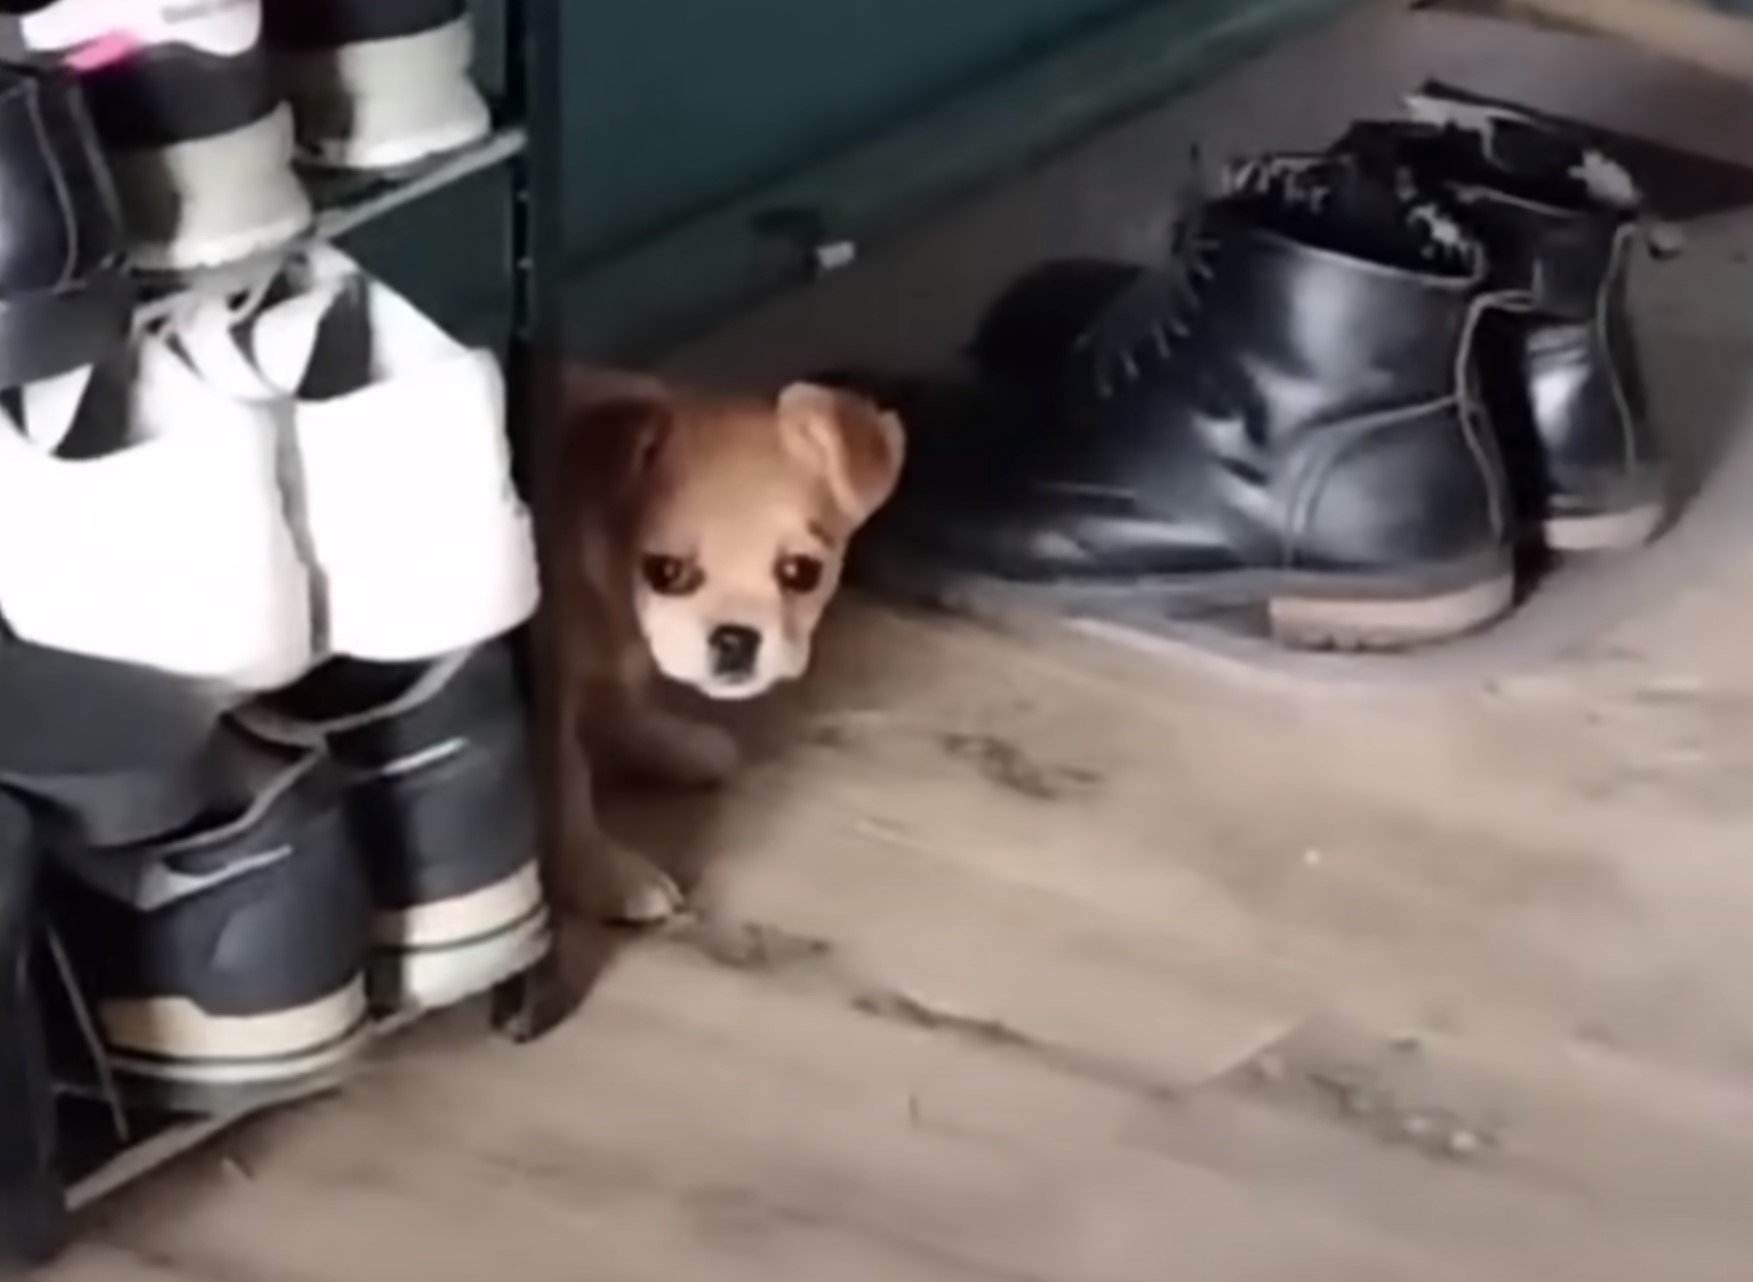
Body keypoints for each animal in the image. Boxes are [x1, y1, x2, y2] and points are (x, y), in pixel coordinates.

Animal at [546, 368, 904, 925]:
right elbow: (571, 795)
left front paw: (666, 745)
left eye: (802, 572)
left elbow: (621, 703)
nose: (736, 638)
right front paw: (608, 876)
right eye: (664, 572)